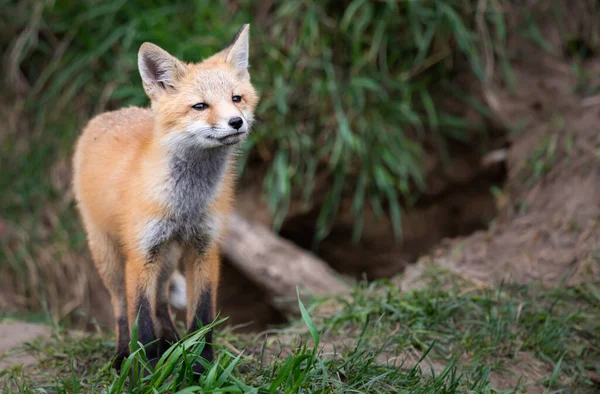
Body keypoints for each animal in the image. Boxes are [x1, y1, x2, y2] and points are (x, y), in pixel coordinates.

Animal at [72, 25, 258, 372]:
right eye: (200, 106)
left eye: (236, 98)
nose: (236, 122)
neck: (186, 204)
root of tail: (107, 115)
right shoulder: (140, 254)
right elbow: (140, 323)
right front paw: (144, 372)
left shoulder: (204, 248)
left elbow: (201, 318)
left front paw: (200, 368)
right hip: (108, 255)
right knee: (120, 307)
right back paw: (123, 354)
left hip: (168, 256)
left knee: (161, 302)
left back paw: (171, 343)